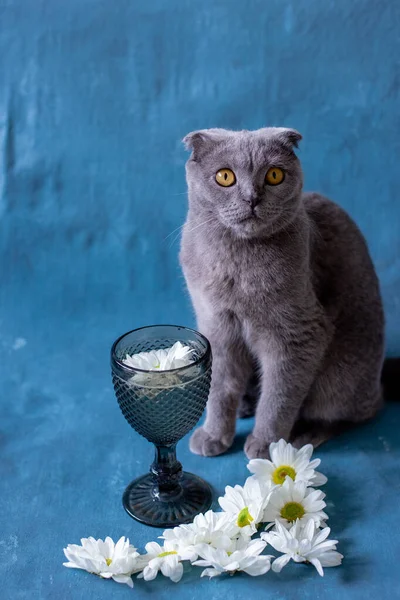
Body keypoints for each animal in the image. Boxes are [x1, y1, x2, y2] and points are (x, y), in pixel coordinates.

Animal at [180, 125, 384, 454]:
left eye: (274, 175)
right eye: (224, 176)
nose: (252, 198)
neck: (236, 265)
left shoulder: (298, 335)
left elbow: (279, 396)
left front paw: (267, 445)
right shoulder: (216, 325)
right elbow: (220, 386)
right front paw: (214, 435)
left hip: (340, 378)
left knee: (347, 414)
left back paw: (305, 435)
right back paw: (245, 406)